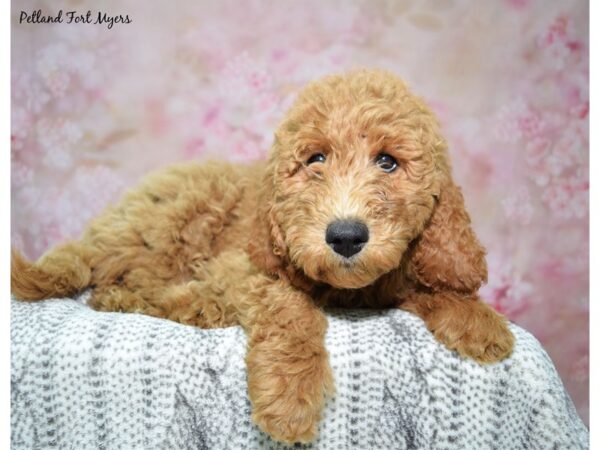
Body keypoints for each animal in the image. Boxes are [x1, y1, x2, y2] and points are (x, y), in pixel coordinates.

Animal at [11, 68, 512, 444]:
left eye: (388, 162)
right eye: (315, 159)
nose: (345, 236)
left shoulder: (391, 280)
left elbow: (430, 285)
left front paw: (476, 320)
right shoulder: (245, 265)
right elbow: (290, 308)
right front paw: (290, 395)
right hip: (176, 220)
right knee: (127, 280)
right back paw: (149, 299)